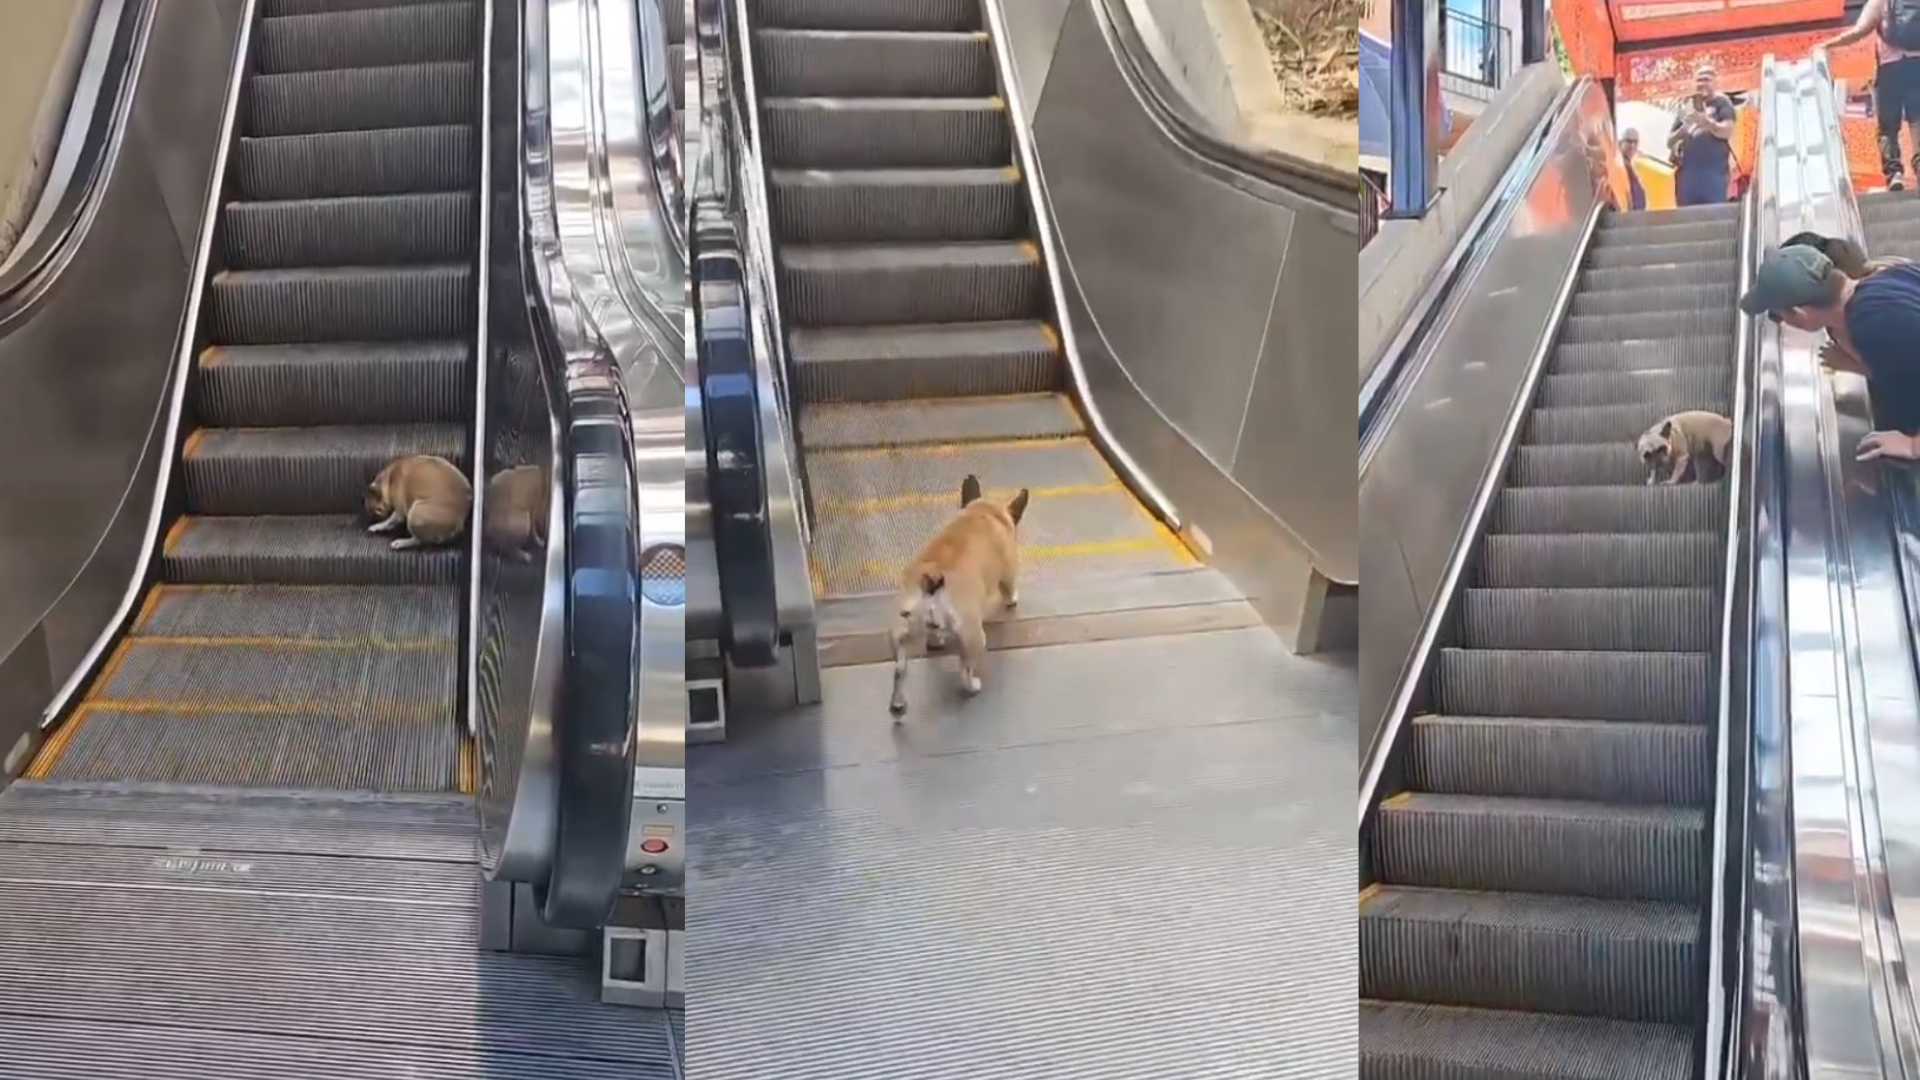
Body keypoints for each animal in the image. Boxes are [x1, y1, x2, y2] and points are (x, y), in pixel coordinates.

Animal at [887, 472, 1029, 718]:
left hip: (902, 633)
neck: (982, 512)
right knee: (965, 671)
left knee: (899, 671)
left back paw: (897, 703)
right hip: (974, 636)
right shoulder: (1008, 573)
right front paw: (1013, 600)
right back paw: (973, 686)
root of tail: (930, 584)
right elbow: (1010, 590)